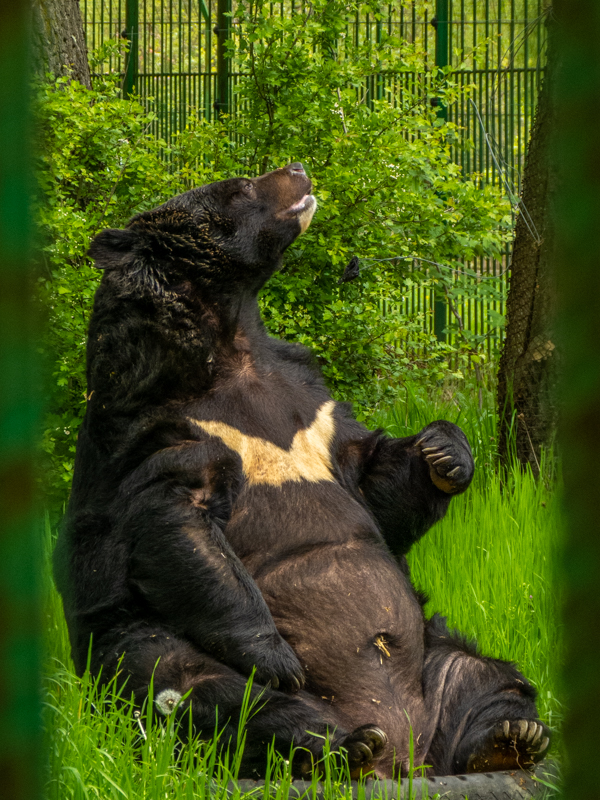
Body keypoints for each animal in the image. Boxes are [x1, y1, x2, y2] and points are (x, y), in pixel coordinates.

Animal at [53, 162, 551, 778]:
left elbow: (373, 482)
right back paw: (335, 744)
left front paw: (445, 453)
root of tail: (407, 752)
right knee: (204, 692)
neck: (232, 339)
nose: (297, 169)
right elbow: (175, 521)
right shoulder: (154, 424)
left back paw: (508, 736)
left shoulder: (313, 402)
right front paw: (277, 658)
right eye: (241, 186)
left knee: (479, 673)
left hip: (433, 650)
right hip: (134, 637)